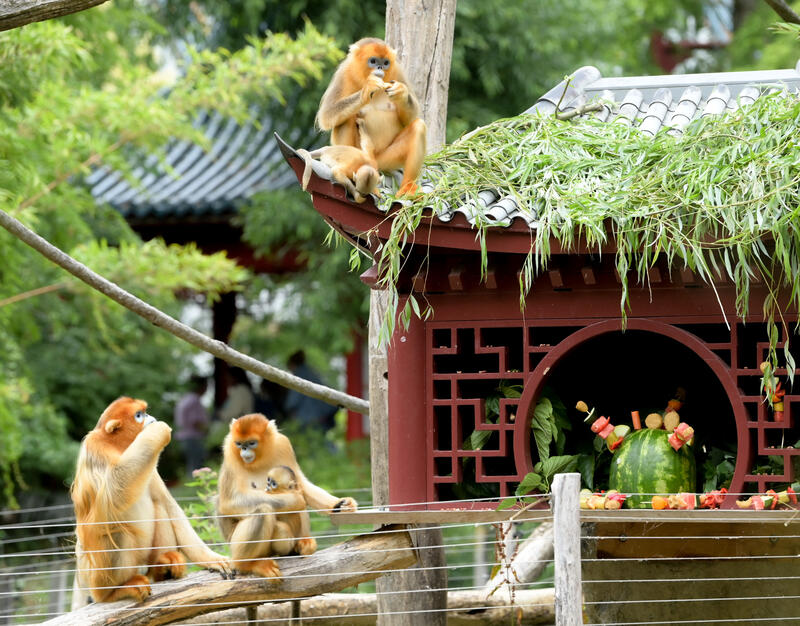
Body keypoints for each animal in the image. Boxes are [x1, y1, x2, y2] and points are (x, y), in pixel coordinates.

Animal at [70, 397, 231, 609]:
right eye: (139, 415)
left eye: (145, 413)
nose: (151, 418)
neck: (118, 446)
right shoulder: (95, 448)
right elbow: (112, 500)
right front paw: (157, 431)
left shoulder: (149, 466)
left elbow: (168, 505)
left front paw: (211, 559)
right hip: (97, 575)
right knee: (117, 530)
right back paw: (113, 593)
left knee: (159, 508)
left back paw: (162, 568)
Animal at [216, 414, 357, 580]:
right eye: (239, 444)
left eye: (251, 443)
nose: (244, 450)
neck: (259, 459)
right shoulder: (230, 453)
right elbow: (228, 503)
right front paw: (295, 500)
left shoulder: (282, 443)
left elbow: (301, 484)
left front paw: (341, 504)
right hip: (235, 543)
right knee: (263, 509)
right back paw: (248, 565)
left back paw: (301, 544)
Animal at [316, 37, 427, 197]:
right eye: (373, 61)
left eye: (385, 63)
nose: (380, 67)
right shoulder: (343, 73)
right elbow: (327, 115)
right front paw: (367, 89)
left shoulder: (398, 71)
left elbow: (409, 120)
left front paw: (402, 93)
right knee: (345, 119)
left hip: (384, 161)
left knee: (418, 126)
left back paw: (407, 186)